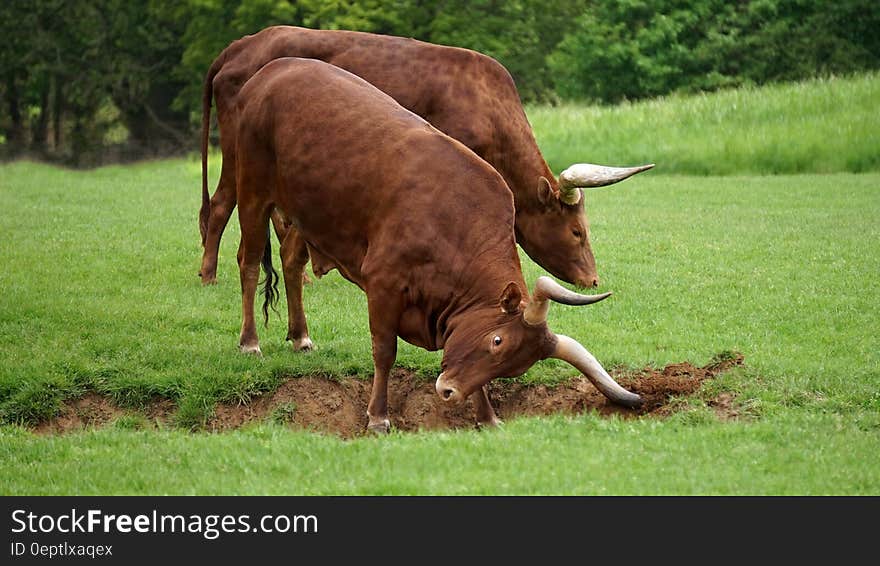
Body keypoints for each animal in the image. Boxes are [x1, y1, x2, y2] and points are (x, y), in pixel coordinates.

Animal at [201, 23, 652, 292]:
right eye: (577, 232)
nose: (592, 279)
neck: (487, 105)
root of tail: (240, 47)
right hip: (240, 153)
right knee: (221, 205)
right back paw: (209, 274)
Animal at [234, 57, 640, 432]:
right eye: (497, 341)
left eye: (512, 366)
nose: (448, 391)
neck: (453, 217)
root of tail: (273, 70)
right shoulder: (383, 285)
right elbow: (385, 351)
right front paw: (378, 417)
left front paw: (487, 416)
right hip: (252, 190)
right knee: (249, 263)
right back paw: (250, 342)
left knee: (290, 260)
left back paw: (300, 336)